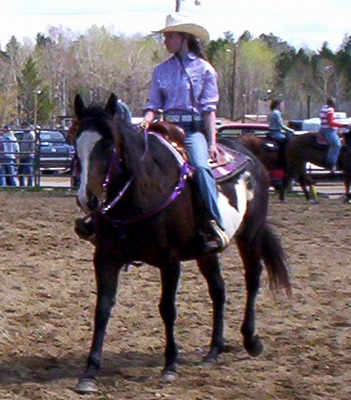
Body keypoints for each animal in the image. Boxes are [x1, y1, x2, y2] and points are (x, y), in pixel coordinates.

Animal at [71, 94, 292, 394]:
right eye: (76, 142)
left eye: (107, 144)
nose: (88, 199)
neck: (141, 191)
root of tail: (252, 157)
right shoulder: (105, 257)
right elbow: (102, 308)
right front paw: (90, 372)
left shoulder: (170, 260)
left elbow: (167, 309)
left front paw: (170, 365)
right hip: (206, 252)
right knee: (218, 290)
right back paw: (214, 350)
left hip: (251, 234)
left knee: (252, 280)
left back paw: (251, 340)